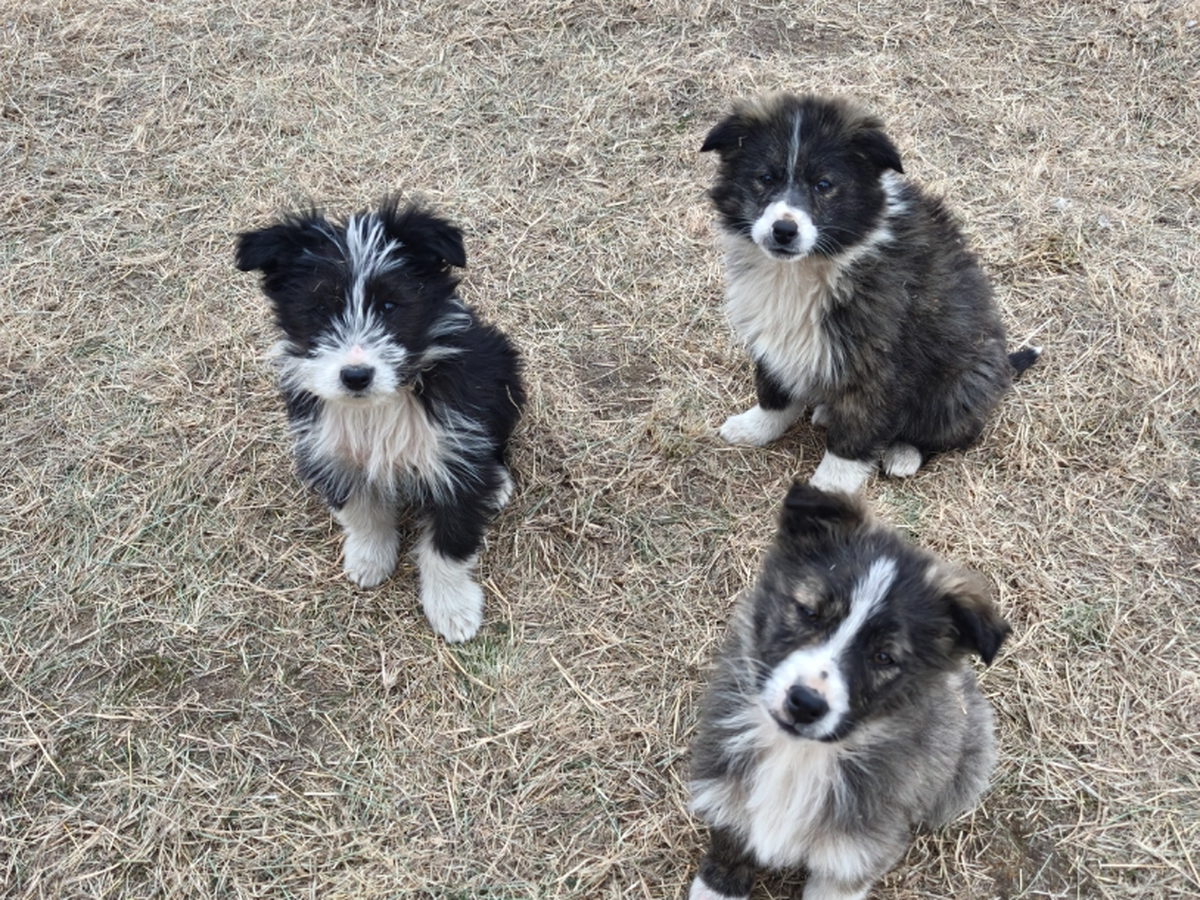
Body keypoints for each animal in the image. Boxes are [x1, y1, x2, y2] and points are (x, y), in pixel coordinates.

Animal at [235, 198, 525, 642]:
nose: (356, 376)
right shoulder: (333, 452)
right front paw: (370, 559)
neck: (376, 406)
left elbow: (450, 542)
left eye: (390, 306)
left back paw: (497, 484)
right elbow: (361, 512)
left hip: (505, 375)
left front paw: (453, 609)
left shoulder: (454, 454)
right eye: (321, 309)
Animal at [688, 484, 1010, 900]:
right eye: (809, 612)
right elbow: (730, 841)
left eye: (883, 657)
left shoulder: (853, 856)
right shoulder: (725, 790)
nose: (805, 704)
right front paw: (719, 885)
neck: (800, 755)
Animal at [701, 93, 1039, 494]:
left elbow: (854, 435)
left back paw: (905, 453)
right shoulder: (776, 333)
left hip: (965, 382)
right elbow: (774, 392)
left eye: (824, 184)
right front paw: (755, 428)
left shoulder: (880, 362)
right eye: (765, 178)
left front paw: (827, 490)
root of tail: (1004, 365)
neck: (811, 266)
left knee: (955, 430)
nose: (783, 231)